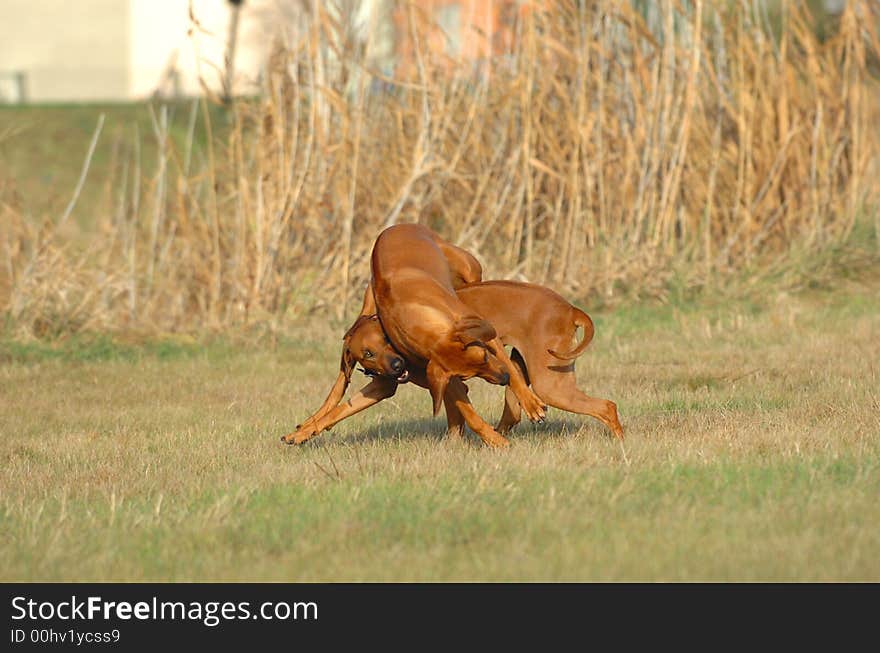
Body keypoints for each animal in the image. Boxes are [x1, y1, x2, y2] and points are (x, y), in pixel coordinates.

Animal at [286, 278, 624, 440]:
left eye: (385, 341)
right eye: (368, 353)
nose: (397, 365)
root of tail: (569, 308)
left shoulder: (452, 382)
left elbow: (464, 415)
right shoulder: (384, 384)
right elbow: (336, 410)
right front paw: (302, 433)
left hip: (549, 382)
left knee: (607, 406)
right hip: (525, 372)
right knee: (514, 412)